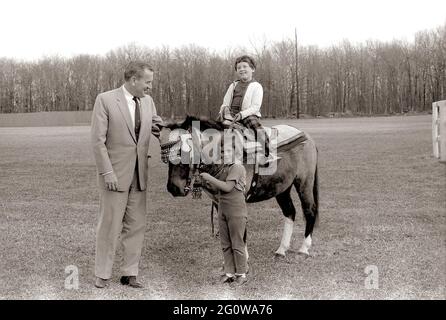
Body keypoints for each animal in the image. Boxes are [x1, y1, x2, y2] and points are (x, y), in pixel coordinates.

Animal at [159, 116, 318, 256]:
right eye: (166, 154)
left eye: (182, 151)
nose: (173, 188)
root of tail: (306, 137)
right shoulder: (218, 202)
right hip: (282, 188)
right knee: (290, 212)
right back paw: (282, 249)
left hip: (304, 183)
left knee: (309, 210)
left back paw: (304, 248)